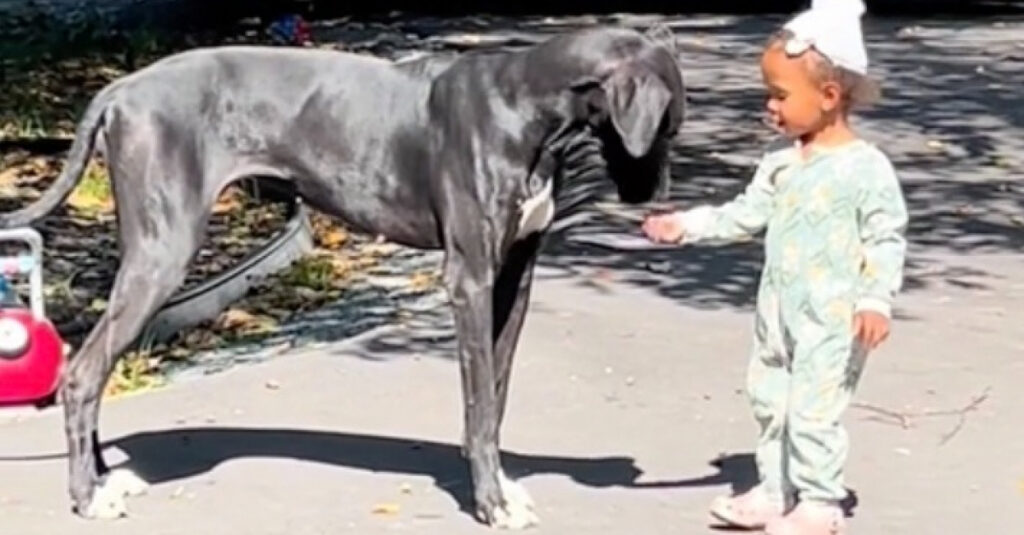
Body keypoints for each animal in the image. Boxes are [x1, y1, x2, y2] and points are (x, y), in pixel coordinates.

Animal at [4, 24, 688, 524]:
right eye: (667, 125)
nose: (654, 195)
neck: (524, 104)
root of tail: (119, 89)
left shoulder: (514, 278)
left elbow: (494, 396)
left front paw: (501, 488)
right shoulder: (468, 279)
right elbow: (477, 399)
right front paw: (490, 503)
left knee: (95, 368)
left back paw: (103, 479)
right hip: (162, 253)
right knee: (83, 373)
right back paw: (86, 497)